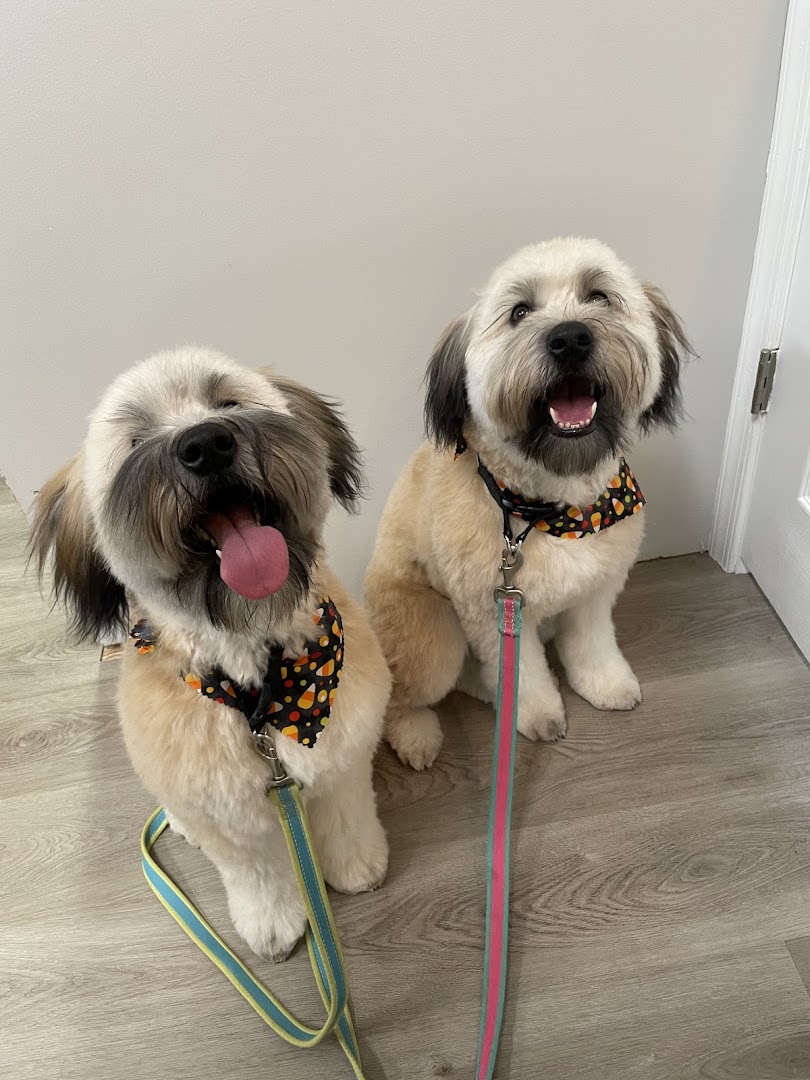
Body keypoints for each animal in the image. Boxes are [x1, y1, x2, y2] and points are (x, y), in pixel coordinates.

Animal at [31, 347, 391, 960]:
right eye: (135, 441)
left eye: (228, 403)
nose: (206, 444)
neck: (263, 692)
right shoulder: (222, 811)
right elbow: (257, 873)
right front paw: (273, 926)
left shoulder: (341, 753)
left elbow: (345, 813)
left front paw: (355, 865)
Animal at [365, 237, 691, 770]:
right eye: (519, 311)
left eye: (599, 296)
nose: (570, 338)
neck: (556, 509)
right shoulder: (491, 611)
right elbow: (523, 673)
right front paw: (536, 713)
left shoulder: (596, 590)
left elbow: (592, 644)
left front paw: (605, 683)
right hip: (431, 637)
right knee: (401, 694)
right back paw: (418, 736)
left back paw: (486, 691)